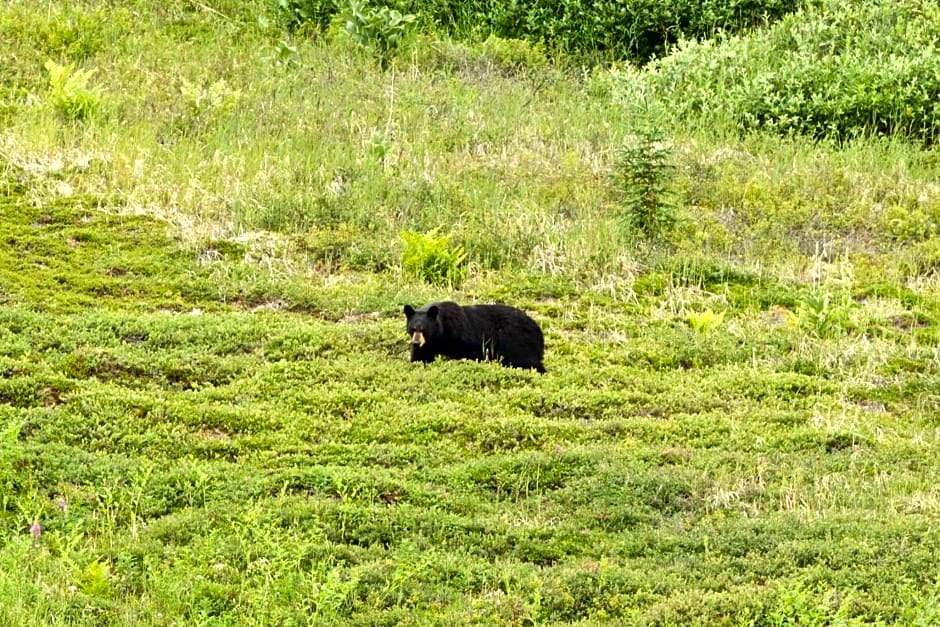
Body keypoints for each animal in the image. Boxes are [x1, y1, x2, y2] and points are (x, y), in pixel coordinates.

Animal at [402, 302, 548, 372]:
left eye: (423, 329)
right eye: (413, 329)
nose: (415, 343)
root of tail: (538, 329)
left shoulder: (460, 336)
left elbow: (469, 354)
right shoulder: (428, 345)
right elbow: (420, 357)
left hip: (516, 340)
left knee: (527, 360)